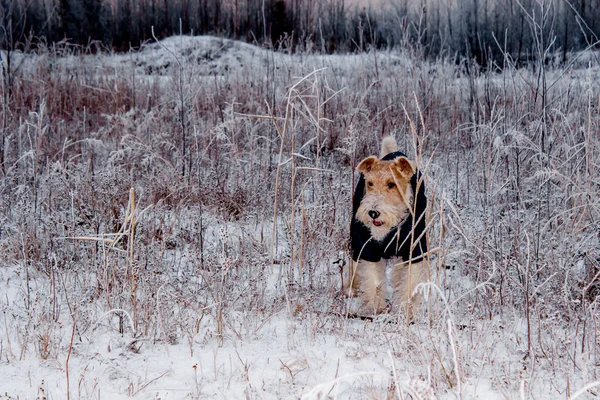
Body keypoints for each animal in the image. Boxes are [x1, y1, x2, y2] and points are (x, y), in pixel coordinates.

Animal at [346, 137, 426, 318]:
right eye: (370, 183)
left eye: (391, 184)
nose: (373, 212)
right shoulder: (368, 249)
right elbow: (373, 281)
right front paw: (374, 308)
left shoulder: (414, 250)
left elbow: (408, 283)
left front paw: (405, 311)